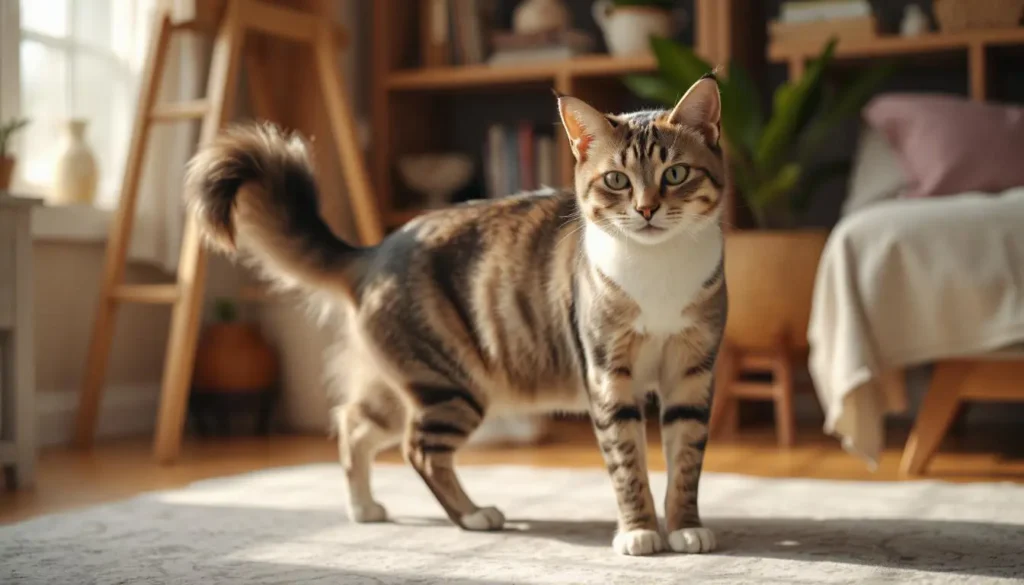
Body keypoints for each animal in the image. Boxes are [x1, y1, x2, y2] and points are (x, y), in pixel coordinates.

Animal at [186, 75, 729, 557]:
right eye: (616, 180)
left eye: (675, 174)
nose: (646, 210)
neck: (657, 271)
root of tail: (375, 250)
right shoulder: (607, 374)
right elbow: (628, 464)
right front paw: (639, 533)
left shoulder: (692, 373)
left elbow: (685, 463)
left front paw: (685, 528)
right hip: (451, 383)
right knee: (418, 449)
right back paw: (473, 514)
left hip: (403, 383)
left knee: (354, 425)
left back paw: (364, 507)